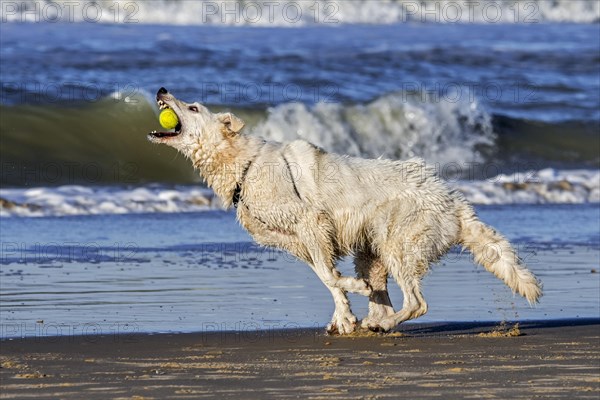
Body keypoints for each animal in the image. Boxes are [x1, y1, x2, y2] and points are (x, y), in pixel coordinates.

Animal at [148, 88, 540, 334]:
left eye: (193, 108)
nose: (162, 91)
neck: (244, 165)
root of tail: (453, 201)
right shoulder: (300, 242)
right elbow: (326, 278)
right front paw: (345, 317)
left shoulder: (311, 223)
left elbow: (331, 276)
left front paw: (352, 296)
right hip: (372, 250)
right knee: (385, 298)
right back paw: (374, 321)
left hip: (398, 244)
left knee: (417, 303)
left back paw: (384, 321)